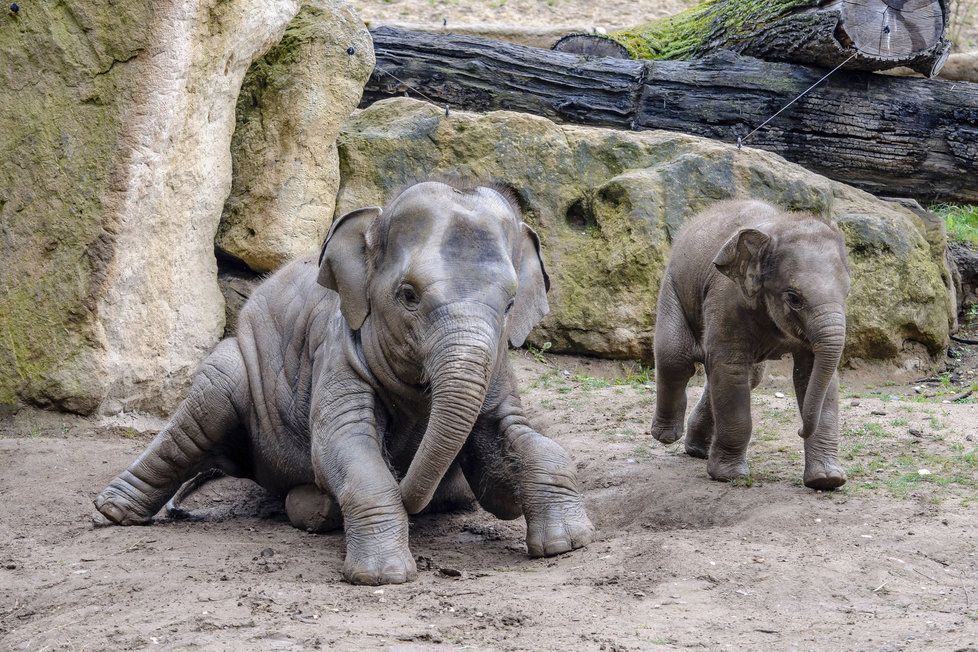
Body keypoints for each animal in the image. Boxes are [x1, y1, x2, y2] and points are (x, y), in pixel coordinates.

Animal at [93, 180, 596, 584]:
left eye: (510, 304)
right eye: (408, 296)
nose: (408, 487)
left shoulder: (499, 366)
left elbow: (521, 437)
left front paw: (566, 543)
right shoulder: (335, 349)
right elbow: (343, 445)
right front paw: (384, 576)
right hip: (234, 364)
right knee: (199, 419)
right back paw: (112, 513)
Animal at [652, 199, 852, 488]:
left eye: (847, 293)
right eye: (793, 298)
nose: (800, 430)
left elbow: (813, 374)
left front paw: (827, 480)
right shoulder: (727, 300)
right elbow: (729, 368)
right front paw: (730, 476)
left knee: (747, 377)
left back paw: (698, 450)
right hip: (673, 287)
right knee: (675, 358)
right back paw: (667, 436)